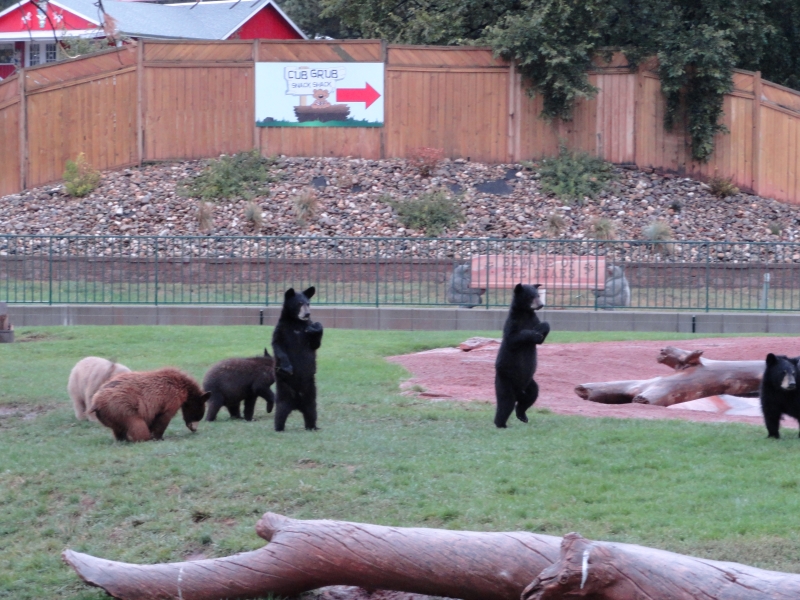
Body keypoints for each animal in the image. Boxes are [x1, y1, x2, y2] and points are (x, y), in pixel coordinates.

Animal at [271, 286, 324, 431]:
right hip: (284, 392)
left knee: (312, 412)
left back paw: (313, 427)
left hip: (311, 393)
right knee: (280, 412)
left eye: (308, 303)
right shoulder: (281, 329)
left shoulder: (306, 331)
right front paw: (288, 367)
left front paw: (317, 328)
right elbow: (278, 346)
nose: (307, 314)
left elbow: (315, 344)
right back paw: (279, 428)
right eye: (299, 303)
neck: (296, 323)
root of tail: (296, 405)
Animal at [494, 283, 550, 428]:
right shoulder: (513, 322)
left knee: (530, 397)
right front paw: (534, 333)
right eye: (530, 296)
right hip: (505, 380)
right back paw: (500, 424)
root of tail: (519, 390)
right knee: (506, 402)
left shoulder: (533, 318)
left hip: (529, 383)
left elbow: (543, 330)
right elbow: (513, 337)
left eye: (538, 295)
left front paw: (542, 328)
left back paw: (522, 415)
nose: (541, 304)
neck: (525, 312)